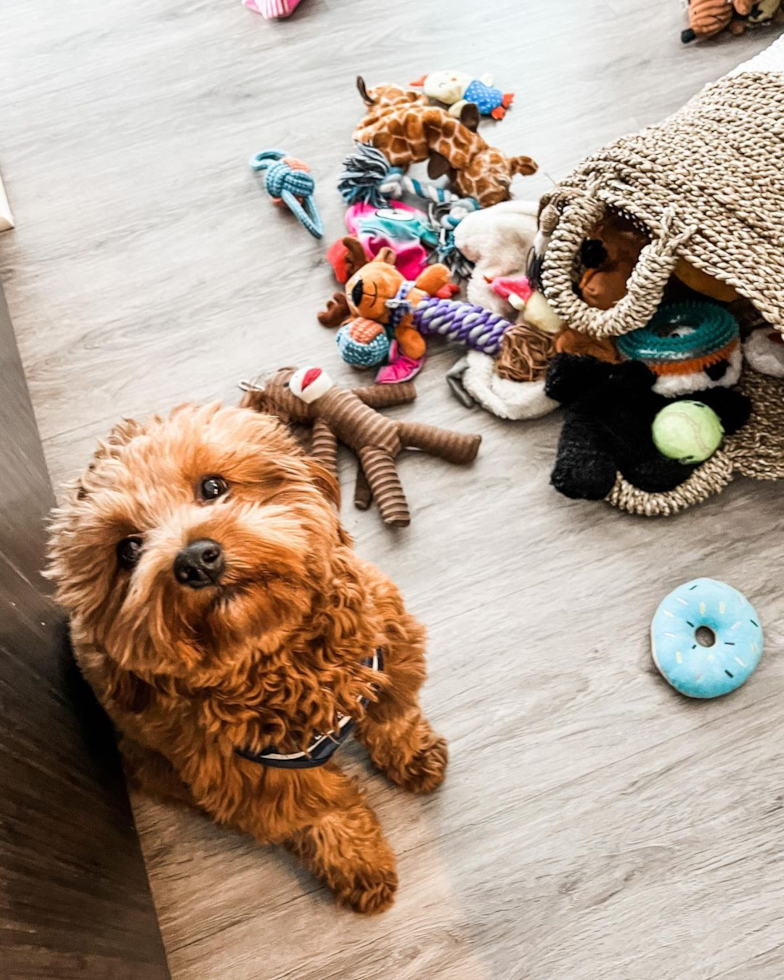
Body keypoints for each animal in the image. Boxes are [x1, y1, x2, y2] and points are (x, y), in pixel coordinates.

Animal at [47, 400, 448, 912]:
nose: (195, 560)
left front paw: (415, 754)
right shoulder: (257, 779)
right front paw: (358, 864)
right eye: (128, 549)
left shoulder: (386, 649)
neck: (279, 655)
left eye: (213, 487)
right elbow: (323, 813)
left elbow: (394, 715)